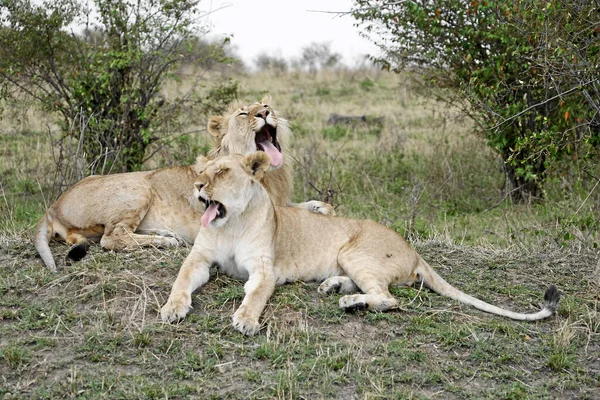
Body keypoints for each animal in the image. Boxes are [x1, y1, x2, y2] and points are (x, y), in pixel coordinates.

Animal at [34, 97, 332, 272]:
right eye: (243, 113)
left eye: (264, 104)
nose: (265, 112)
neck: (269, 173)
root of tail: (52, 207)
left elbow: (304, 206)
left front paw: (322, 207)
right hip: (138, 187)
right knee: (112, 238)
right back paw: (165, 241)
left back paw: (165, 235)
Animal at [161, 152, 564, 334]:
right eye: (202, 171)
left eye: (222, 171)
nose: (198, 186)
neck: (229, 223)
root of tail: (415, 251)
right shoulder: (199, 258)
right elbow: (181, 282)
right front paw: (171, 309)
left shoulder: (264, 269)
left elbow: (256, 294)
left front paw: (245, 319)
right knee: (376, 289)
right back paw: (333, 286)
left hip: (352, 250)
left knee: (388, 298)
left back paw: (348, 301)